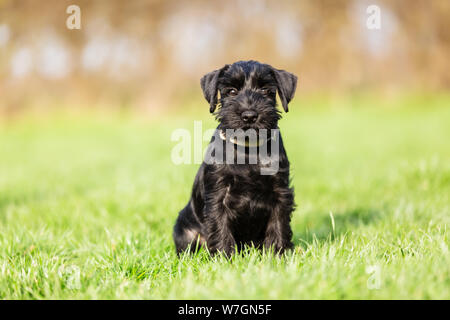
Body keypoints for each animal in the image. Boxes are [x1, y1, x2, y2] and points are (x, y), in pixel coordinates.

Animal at [174, 59, 298, 255]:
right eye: (231, 91)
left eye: (265, 90)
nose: (249, 116)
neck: (247, 151)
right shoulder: (218, 195)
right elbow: (220, 227)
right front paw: (225, 256)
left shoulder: (280, 191)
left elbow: (279, 224)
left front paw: (277, 253)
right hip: (185, 230)